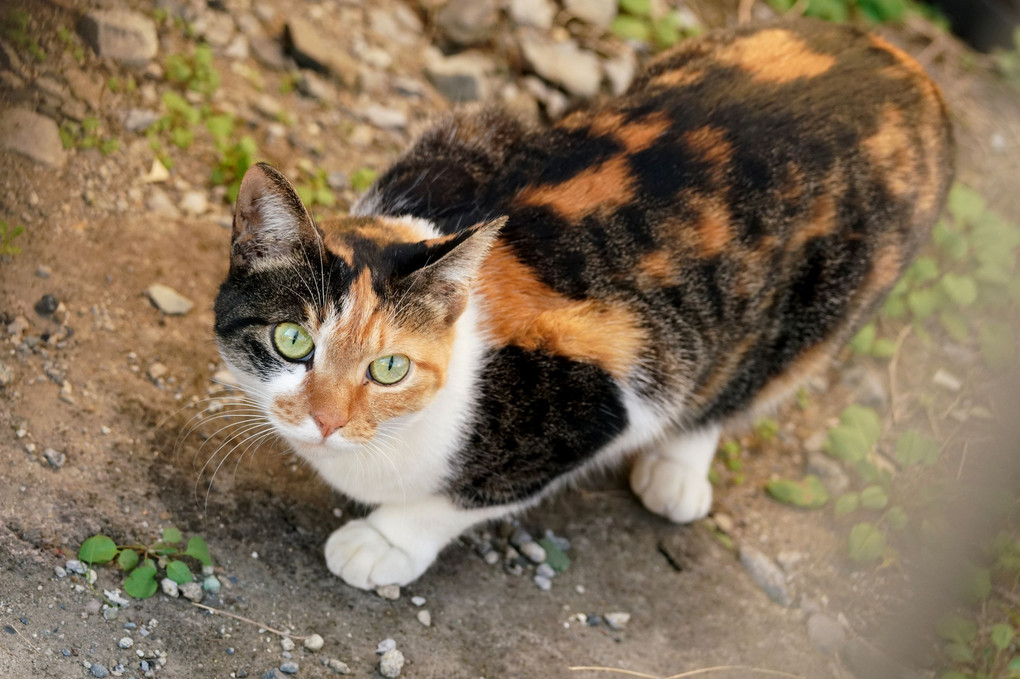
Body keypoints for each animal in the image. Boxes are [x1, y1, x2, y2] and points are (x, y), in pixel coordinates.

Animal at [215, 15, 954, 587]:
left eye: (388, 368)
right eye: (293, 341)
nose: (327, 421)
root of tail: (906, 64)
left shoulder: (606, 391)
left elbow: (467, 496)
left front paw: (385, 542)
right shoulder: (468, 135)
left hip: (812, 313)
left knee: (736, 382)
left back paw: (677, 471)